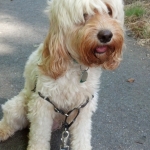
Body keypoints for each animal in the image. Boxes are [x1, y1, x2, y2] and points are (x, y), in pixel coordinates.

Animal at [0, 0, 124, 149]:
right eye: (84, 14)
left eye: (109, 11)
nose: (106, 35)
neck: (76, 64)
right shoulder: (42, 104)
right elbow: (39, 136)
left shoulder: (82, 108)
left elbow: (82, 136)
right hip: (17, 106)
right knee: (9, 120)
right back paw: (2, 131)